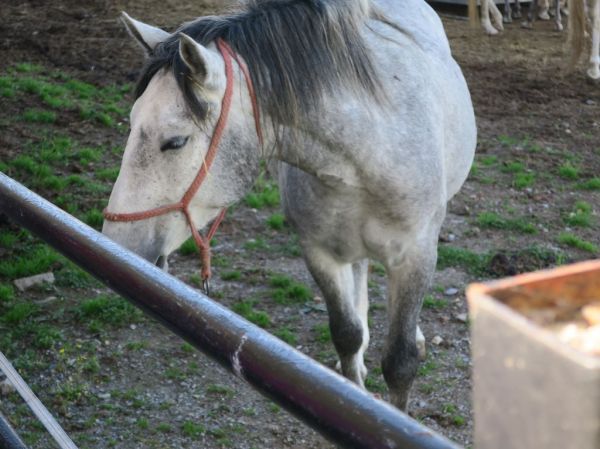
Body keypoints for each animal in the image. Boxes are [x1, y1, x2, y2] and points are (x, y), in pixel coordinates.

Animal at [104, 0, 478, 408]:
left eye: (175, 141)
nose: (115, 247)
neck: (370, 150)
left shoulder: (415, 257)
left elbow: (400, 362)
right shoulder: (319, 252)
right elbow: (346, 334)